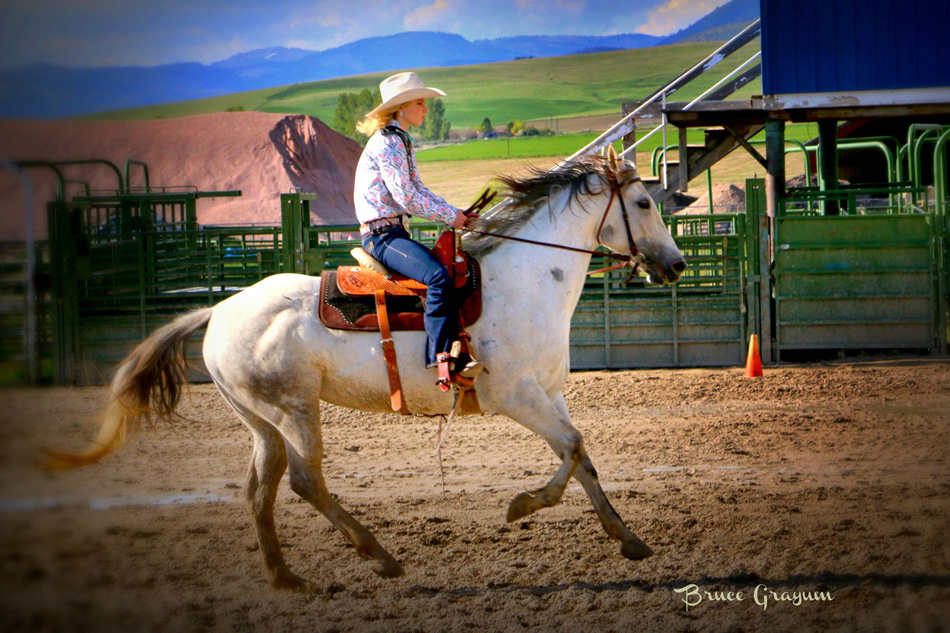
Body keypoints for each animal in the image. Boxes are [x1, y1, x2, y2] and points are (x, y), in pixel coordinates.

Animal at [48, 151, 688, 592]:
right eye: (643, 204)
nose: (677, 266)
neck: (528, 278)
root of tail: (220, 309)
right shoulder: (513, 394)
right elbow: (573, 451)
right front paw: (521, 506)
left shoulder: (549, 393)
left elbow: (580, 456)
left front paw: (629, 539)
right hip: (295, 410)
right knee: (305, 482)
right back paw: (379, 555)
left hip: (261, 421)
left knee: (261, 488)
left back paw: (287, 578)